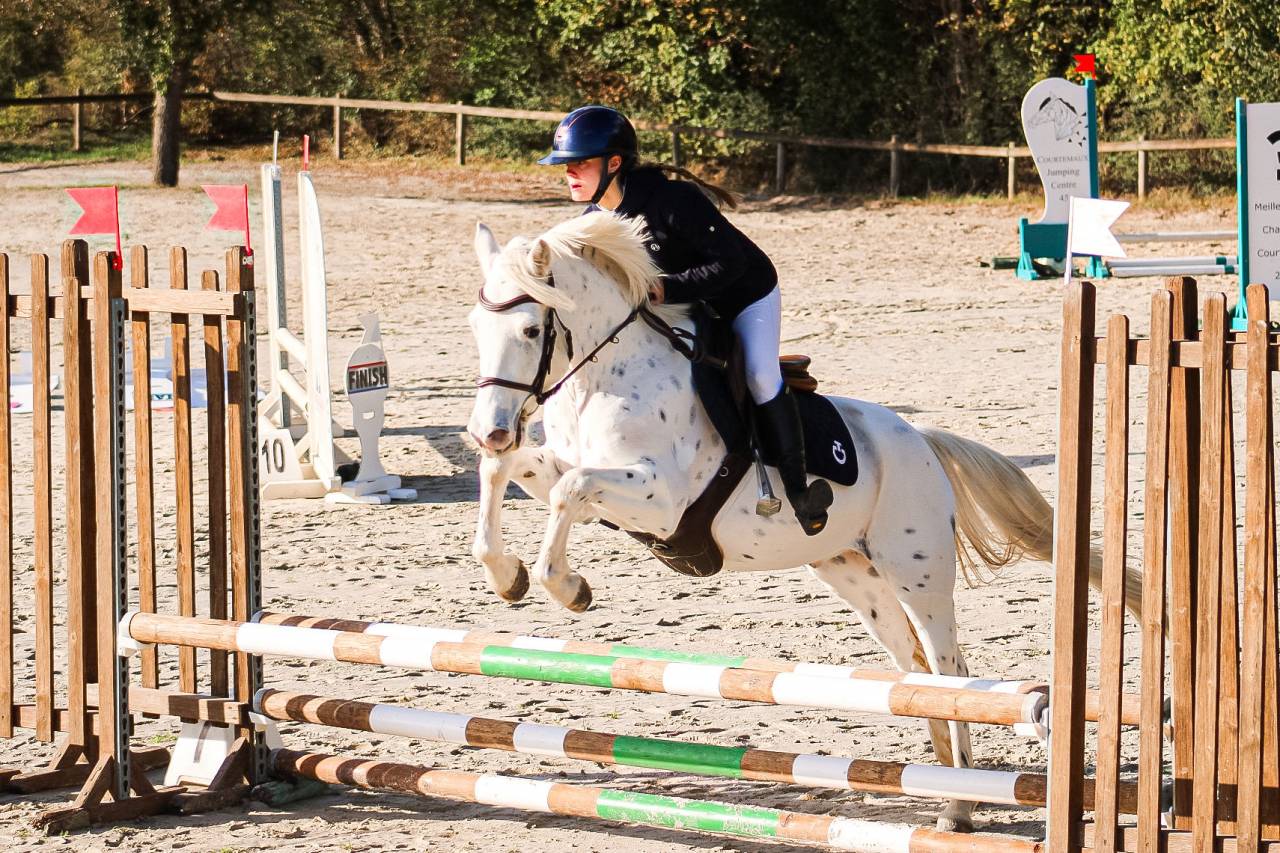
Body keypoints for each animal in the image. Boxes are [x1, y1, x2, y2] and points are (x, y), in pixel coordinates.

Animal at [466, 210, 1141, 832]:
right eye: (475, 326)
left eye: (531, 328)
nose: (489, 427)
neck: (603, 379)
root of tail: (919, 439)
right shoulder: (565, 469)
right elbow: (505, 472)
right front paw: (507, 575)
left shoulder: (660, 501)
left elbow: (569, 492)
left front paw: (567, 587)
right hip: (854, 577)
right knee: (915, 671)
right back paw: (945, 787)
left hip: (918, 574)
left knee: (953, 671)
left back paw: (959, 805)